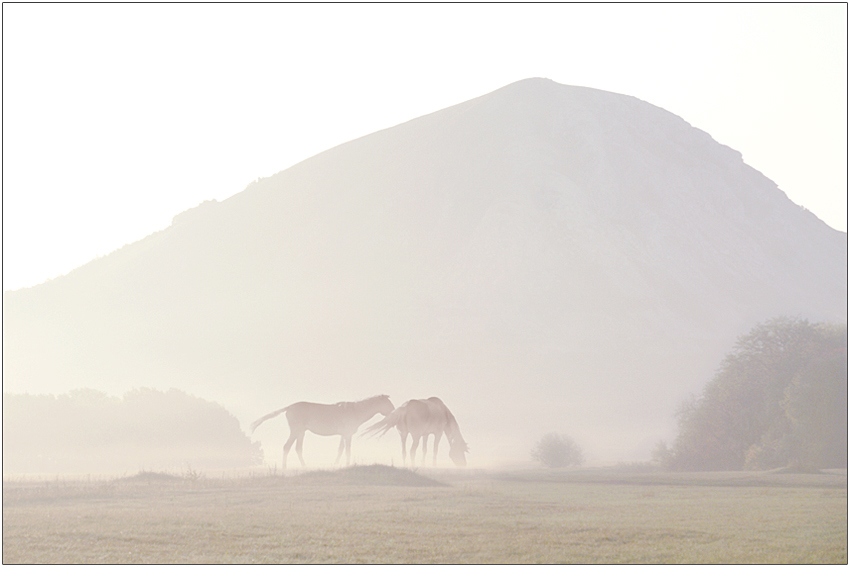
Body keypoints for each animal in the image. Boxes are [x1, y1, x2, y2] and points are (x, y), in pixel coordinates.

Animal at [248, 394, 394, 470]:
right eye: (388, 404)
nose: (394, 412)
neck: (355, 411)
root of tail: (289, 407)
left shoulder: (343, 435)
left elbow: (340, 450)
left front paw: (336, 465)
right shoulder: (347, 435)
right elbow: (347, 450)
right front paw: (348, 465)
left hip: (301, 432)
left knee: (298, 448)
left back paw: (305, 466)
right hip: (296, 431)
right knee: (287, 446)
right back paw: (285, 468)